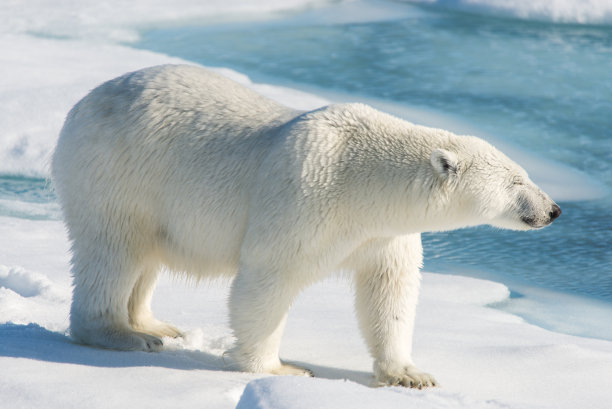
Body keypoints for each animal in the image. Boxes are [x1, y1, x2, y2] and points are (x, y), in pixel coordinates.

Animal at [51, 63, 560, 386]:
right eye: (517, 180)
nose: (554, 209)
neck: (364, 181)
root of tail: (81, 105)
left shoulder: (381, 234)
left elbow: (390, 291)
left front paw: (410, 374)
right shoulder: (305, 197)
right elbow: (266, 281)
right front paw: (280, 369)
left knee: (147, 257)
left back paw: (156, 325)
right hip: (118, 173)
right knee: (114, 249)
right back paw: (123, 334)